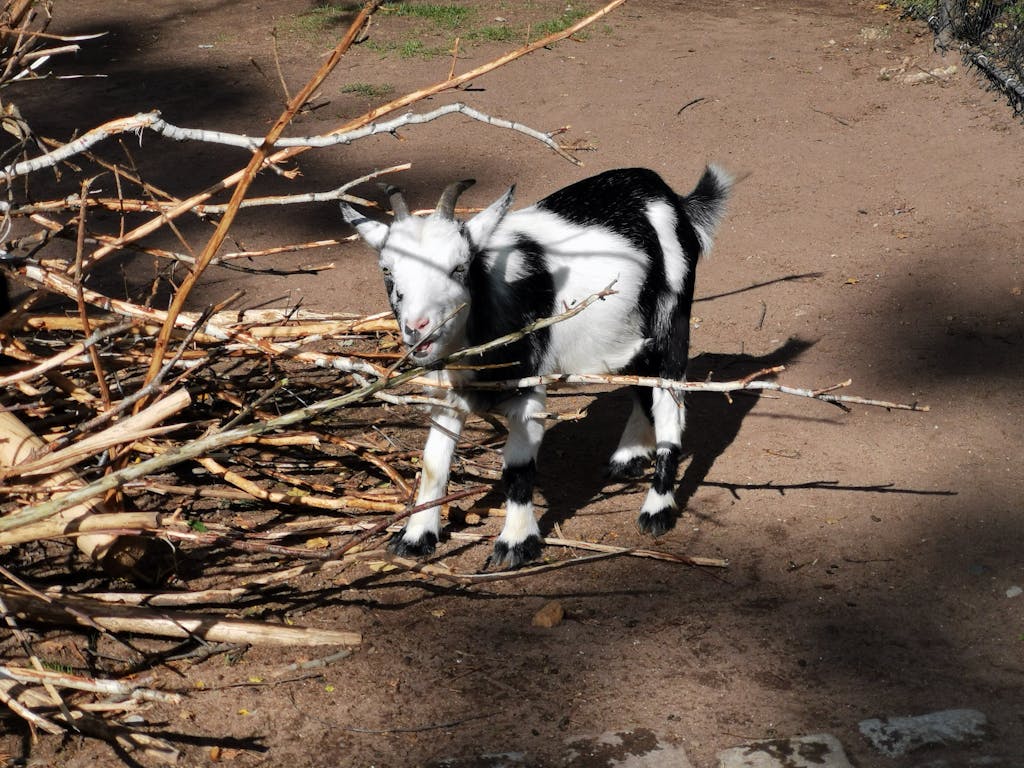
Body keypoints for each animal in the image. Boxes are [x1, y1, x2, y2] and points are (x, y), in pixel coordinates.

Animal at [340, 166, 731, 570]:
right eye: (387, 271)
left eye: (459, 267)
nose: (418, 327)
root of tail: (669, 196)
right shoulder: (448, 394)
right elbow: (434, 463)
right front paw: (415, 538)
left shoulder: (527, 392)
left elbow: (517, 470)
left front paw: (516, 544)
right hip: (628, 333)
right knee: (641, 382)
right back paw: (628, 456)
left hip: (673, 319)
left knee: (669, 401)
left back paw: (657, 509)